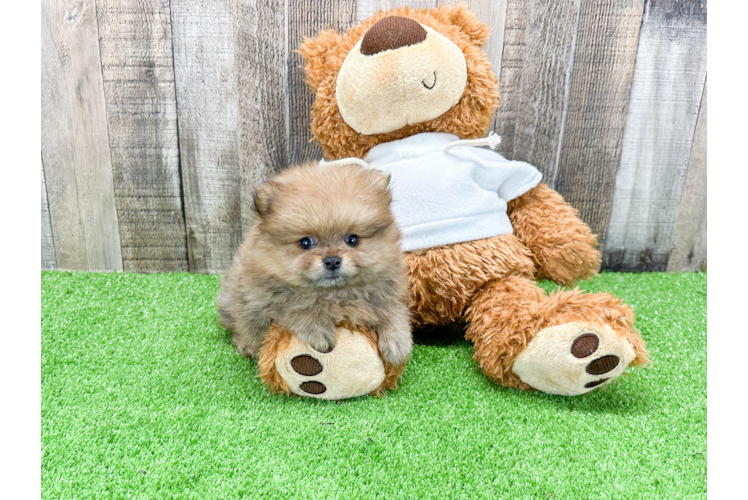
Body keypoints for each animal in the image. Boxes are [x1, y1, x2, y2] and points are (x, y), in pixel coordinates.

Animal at [216, 162, 414, 370]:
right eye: (306, 243)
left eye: (352, 239)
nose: (332, 260)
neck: (335, 294)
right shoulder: (268, 301)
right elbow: (296, 308)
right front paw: (317, 328)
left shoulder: (389, 291)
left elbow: (394, 312)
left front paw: (398, 343)